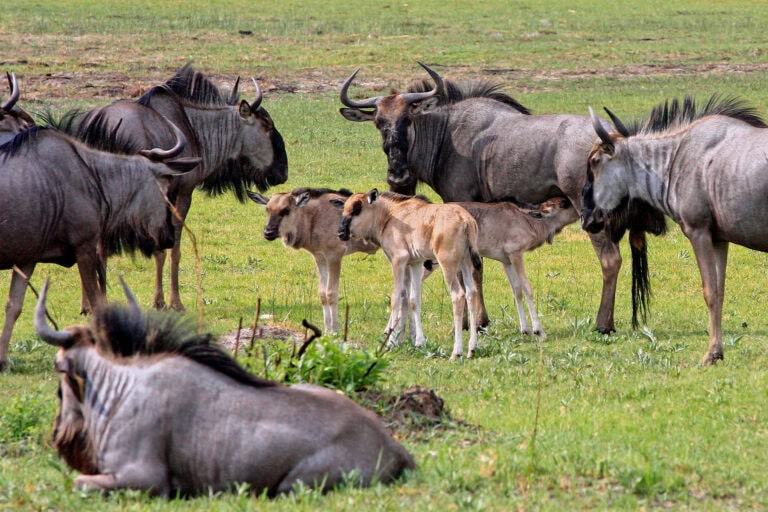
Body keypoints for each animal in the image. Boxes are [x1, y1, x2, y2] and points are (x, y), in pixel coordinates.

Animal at [0, 122, 199, 371]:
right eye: (167, 193)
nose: (170, 238)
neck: (94, 177)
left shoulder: (26, 260)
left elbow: (13, 306)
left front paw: (3, 360)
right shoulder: (84, 248)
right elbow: (97, 304)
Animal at [37, 278, 414, 497]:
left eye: (59, 378)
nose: (58, 434)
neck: (118, 387)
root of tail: (394, 447)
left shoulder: (143, 478)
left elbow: (79, 483)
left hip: (293, 485)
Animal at [57, 64, 288, 312]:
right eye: (267, 125)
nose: (283, 171)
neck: (194, 129)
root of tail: (103, 126)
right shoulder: (181, 193)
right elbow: (171, 248)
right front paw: (169, 301)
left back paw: (88, 304)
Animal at [247, 187, 379, 334]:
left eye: (286, 210)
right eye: (267, 209)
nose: (268, 233)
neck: (315, 219)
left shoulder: (334, 256)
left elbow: (331, 293)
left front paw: (335, 331)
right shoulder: (320, 258)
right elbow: (322, 294)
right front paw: (327, 330)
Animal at [336, 190, 482, 359]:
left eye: (357, 209)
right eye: (345, 208)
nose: (340, 233)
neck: (390, 215)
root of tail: (465, 220)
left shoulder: (398, 260)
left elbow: (396, 298)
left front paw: (390, 341)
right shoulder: (415, 263)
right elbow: (413, 299)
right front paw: (417, 341)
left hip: (448, 264)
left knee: (458, 296)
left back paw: (456, 352)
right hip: (466, 263)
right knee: (471, 294)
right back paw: (472, 348)